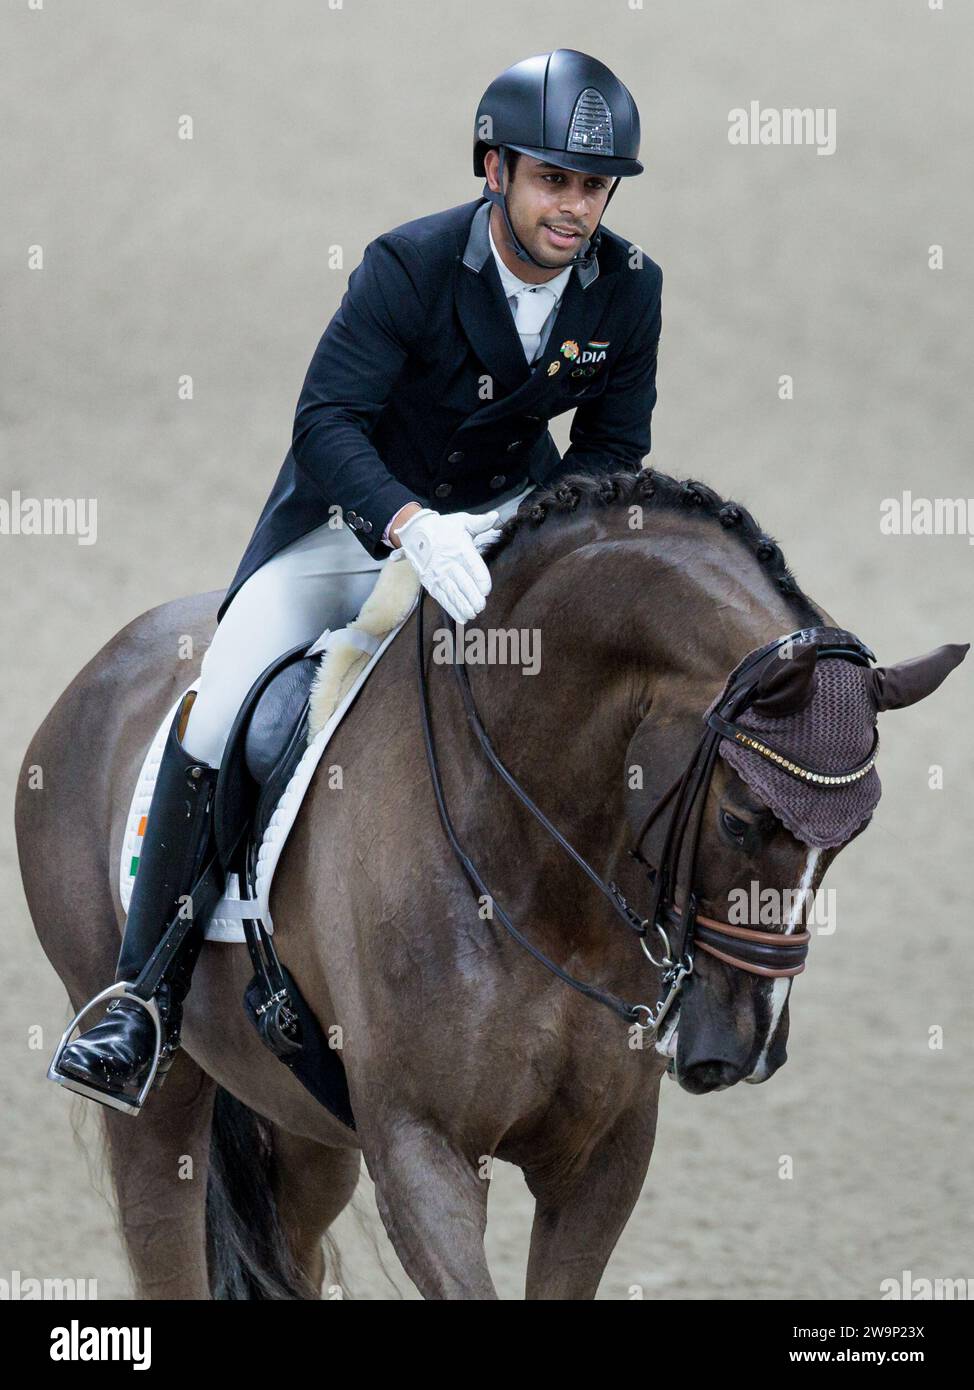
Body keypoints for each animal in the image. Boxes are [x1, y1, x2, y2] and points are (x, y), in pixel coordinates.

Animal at [17, 472, 967, 1295]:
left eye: (854, 837)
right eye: (740, 819)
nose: (745, 1051)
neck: (538, 872)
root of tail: (105, 668)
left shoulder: (604, 1157)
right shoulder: (422, 1148)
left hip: (307, 1125)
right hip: (161, 1104)